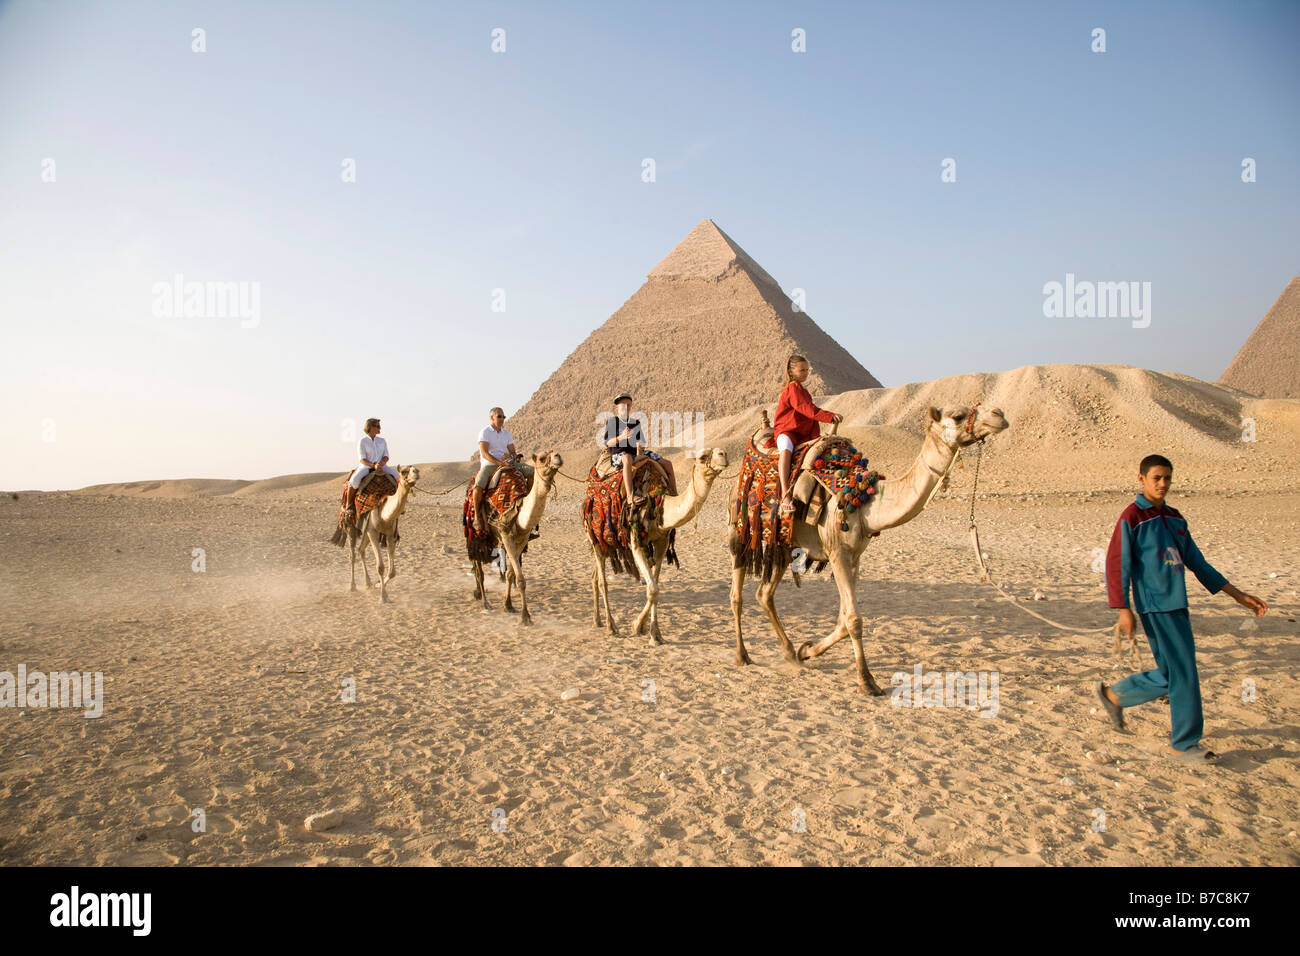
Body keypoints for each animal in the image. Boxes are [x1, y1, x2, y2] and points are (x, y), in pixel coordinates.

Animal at [343, 465, 418, 606]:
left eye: (415, 469)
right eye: (404, 471)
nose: (416, 471)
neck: (384, 514)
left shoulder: (390, 533)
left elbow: (392, 572)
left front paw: (378, 585)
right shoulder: (373, 532)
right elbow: (380, 567)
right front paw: (383, 597)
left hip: (366, 532)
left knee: (361, 549)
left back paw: (368, 583)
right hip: (352, 525)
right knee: (352, 554)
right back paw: (352, 586)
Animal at [473, 452, 564, 624]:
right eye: (542, 458)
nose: (558, 456)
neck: (518, 510)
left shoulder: (522, 539)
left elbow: (510, 574)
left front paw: (508, 605)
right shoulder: (506, 534)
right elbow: (520, 580)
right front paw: (525, 616)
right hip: (474, 533)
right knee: (478, 567)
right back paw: (484, 601)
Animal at [590, 447, 733, 642]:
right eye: (703, 457)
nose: (723, 455)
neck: (656, 501)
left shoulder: (661, 542)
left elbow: (655, 587)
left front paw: (652, 632)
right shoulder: (636, 541)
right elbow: (652, 589)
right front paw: (638, 626)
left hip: (607, 543)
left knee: (595, 576)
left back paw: (597, 620)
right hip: (595, 536)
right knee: (602, 582)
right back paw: (611, 627)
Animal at [728, 405, 1008, 697]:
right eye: (957, 415)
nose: (998, 415)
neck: (863, 501)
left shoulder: (854, 556)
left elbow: (843, 621)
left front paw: (808, 650)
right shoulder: (837, 552)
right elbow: (854, 619)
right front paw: (867, 680)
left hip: (784, 542)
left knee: (764, 594)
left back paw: (790, 652)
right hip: (739, 529)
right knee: (737, 595)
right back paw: (742, 655)